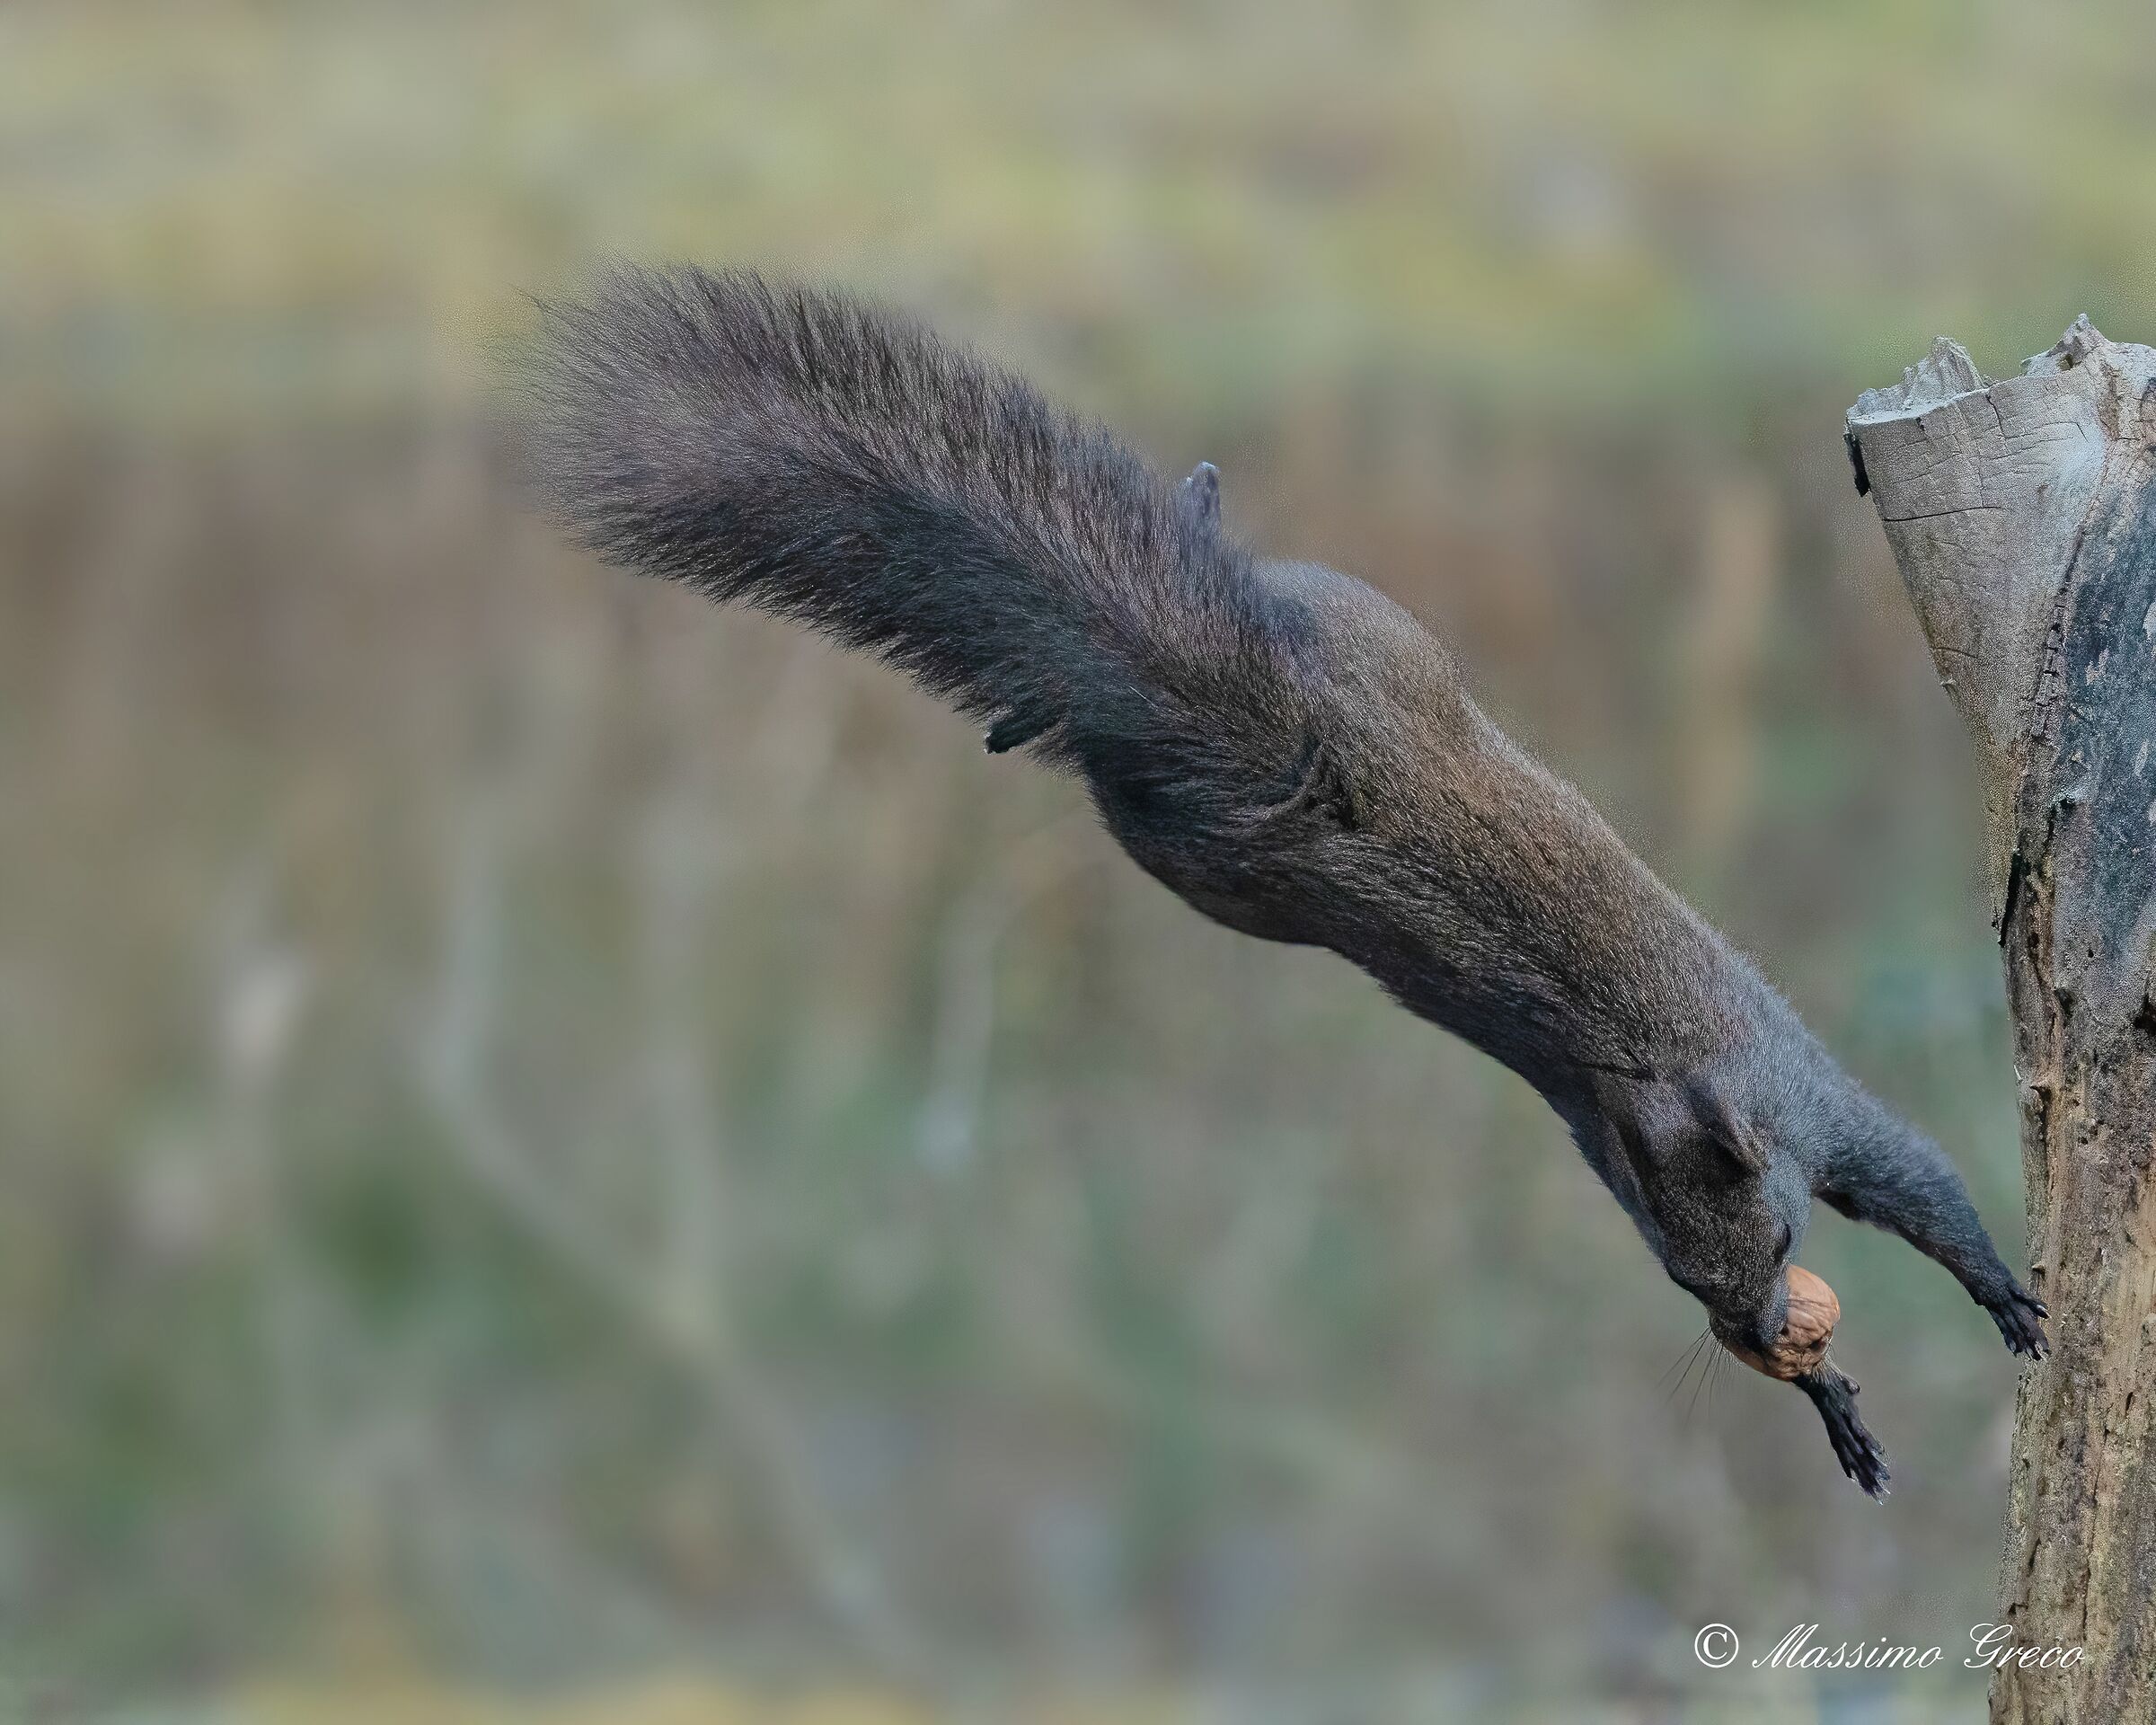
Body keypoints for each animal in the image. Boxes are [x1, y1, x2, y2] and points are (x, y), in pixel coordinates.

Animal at [516, 265, 2047, 1485]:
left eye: (1761, 1237)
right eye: (1681, 1266)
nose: (1751, 1329)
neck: (1662, 1080)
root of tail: (1272, 739)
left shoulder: (1798, 1108)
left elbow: (1914, 1184)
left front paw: (1944, 1330)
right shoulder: (1787, 1102)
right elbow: (1911, 1186)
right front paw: (1898, 1360)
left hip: (1208, 788)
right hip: (1308, 683)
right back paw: (1170, 544)